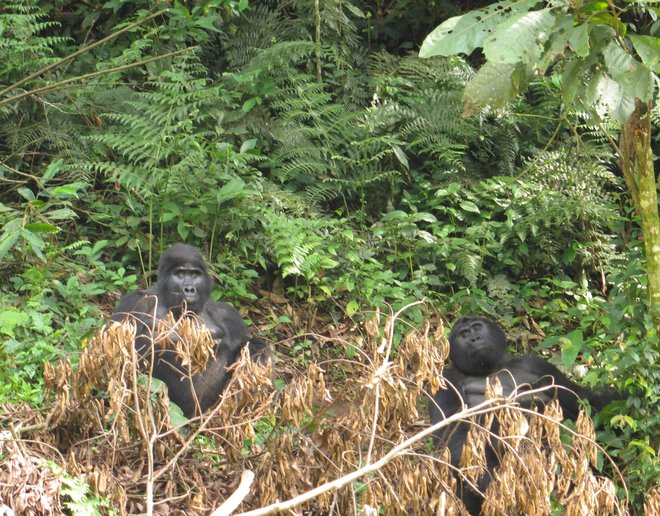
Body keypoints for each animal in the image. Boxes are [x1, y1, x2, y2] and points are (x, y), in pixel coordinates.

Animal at [112, 244, 270, 418]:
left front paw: (256, 354)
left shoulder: (228, 315)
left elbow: (244, 346)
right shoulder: (135, 303)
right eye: (180, 274)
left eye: (195, 275)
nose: (189, 289)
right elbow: (120, 356)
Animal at [428, 314, 620, 512]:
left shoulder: (538, 364)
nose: (474, 339)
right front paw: (482, 478)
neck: (494, 367)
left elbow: (585, 401)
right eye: (464, 335)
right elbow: (451, 432)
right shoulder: (445, 378)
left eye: (477, 327)